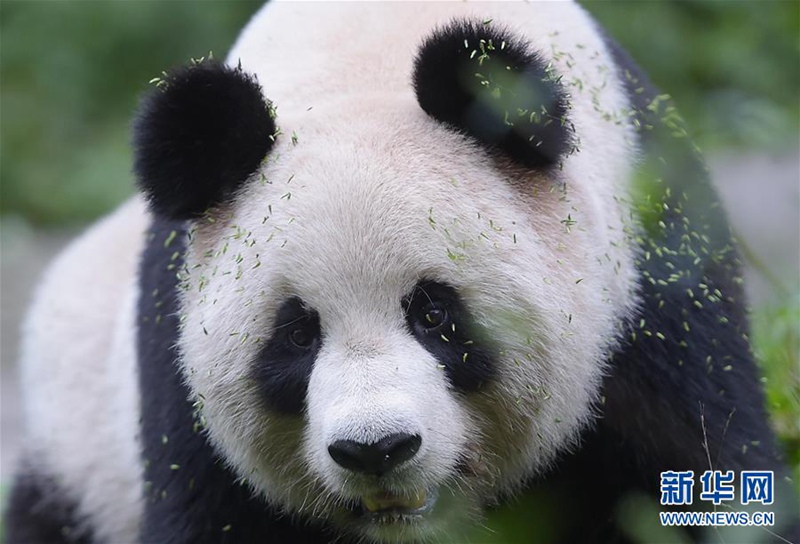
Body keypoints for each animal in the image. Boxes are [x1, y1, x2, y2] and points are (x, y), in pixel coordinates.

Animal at [4, 1, 798, 543]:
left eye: (435, 313)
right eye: (297, 335)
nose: (376, 449)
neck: (366, 55)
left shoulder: (647, 292)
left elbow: (699, 464)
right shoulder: (180, 378)